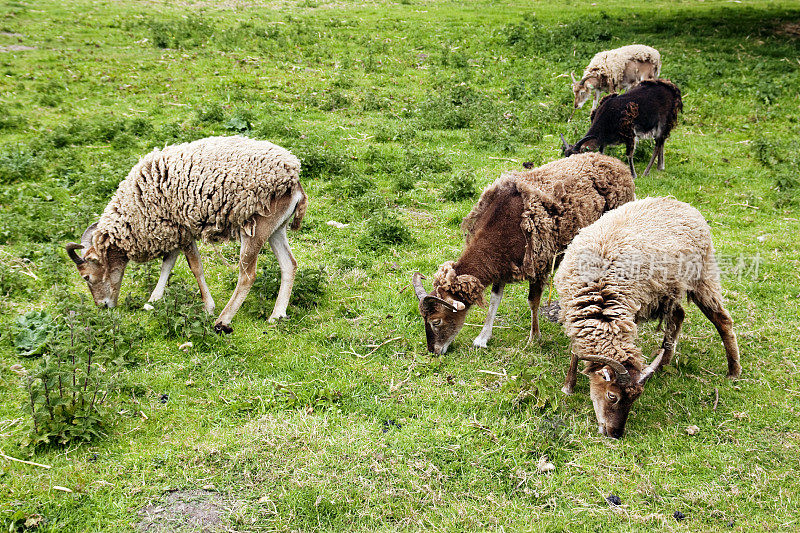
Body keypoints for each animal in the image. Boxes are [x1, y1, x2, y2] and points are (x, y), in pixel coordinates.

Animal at [65, 135, 308, 330]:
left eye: (87, 276)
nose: (103, 306)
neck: (136, 206)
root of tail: (294, 182)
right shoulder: (171, 231)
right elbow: (168, 263)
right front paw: (153, 301)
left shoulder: (183, 230)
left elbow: (195, 267)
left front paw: (208, 307)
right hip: (275, 228)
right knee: (289, 264)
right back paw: (277, 315)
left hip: (254, 229)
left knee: (247, 275)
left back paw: (222, 321)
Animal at [412, 152, 632, 356]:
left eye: (436, 321)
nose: (433, 351)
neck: (502, 226)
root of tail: (616, 163)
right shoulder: (500, 264)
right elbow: (495, 300)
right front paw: (482, 338)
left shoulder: (539, 264)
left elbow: (533, 301)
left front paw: (534, 337)